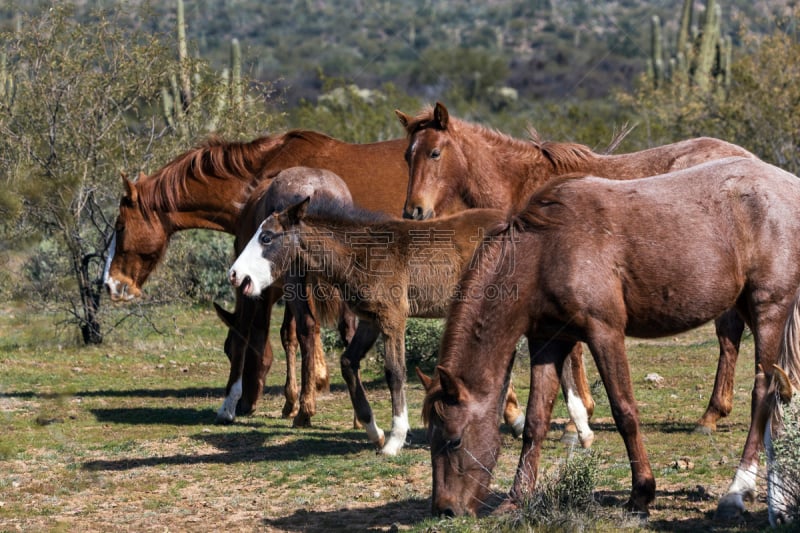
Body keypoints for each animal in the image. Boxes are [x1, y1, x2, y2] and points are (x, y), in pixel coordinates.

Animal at [228, 197, 596, 456]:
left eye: (267, 237)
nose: (236, 276)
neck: (363, 252)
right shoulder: (371, 320)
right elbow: (348, 363)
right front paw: (374, 432)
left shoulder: (393, 318)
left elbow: (395, 372)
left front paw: (395, 439)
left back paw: (577, 426)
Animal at [396, 101, 760, 436]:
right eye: (407, 157)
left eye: (435, 153)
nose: (414, 211)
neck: (524, 185)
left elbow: (574, 353)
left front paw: (577, 417)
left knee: (729, 336)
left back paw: (712, 414)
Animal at [416, 155, 800, 520]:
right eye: (431, 438)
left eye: (454, 440)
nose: (445, 509)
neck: (544, 250)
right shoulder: (547, 343)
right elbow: (536, 421)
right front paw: (516, 498)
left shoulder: (605, 333)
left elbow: (624, 412)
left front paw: (641, 494)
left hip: (769, 309)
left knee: (763, 394)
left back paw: (738, 489)